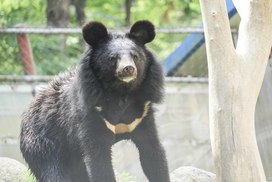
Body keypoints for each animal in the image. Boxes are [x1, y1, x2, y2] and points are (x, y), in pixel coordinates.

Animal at [20, 19, 170, 182]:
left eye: (135, 56)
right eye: (113, 58)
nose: (128, 68)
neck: (122, 93)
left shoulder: (143, 113)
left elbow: (152, 153)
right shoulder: (91, 115)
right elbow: (99, 161)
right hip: (44, 144)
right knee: (53, 172)